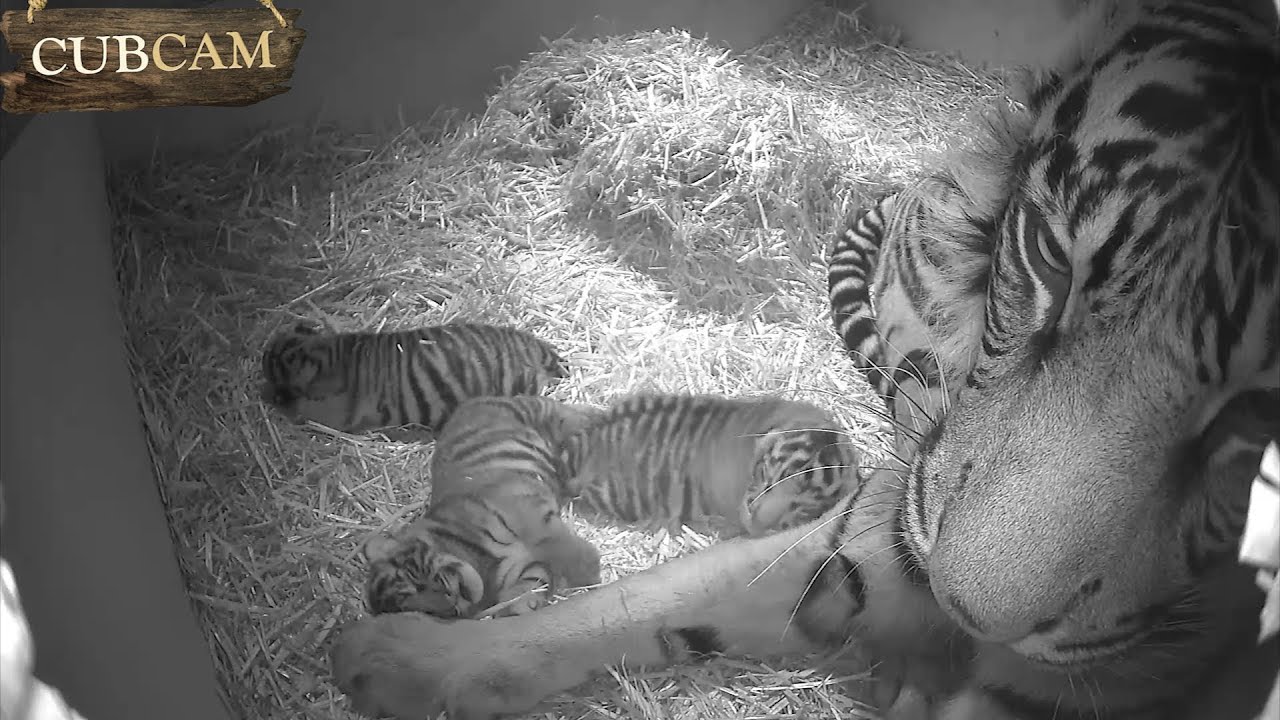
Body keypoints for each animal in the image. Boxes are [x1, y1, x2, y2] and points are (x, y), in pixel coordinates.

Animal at [362, 395, 604, 619]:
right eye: (421, 610)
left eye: (415, 580)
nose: (450, 603)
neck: (484, 562)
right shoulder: (523, 567)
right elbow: (528, 585)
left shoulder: (523, 509)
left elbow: (558, 542)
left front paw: (590, 568)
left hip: (546, 415)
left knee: (578, 416)